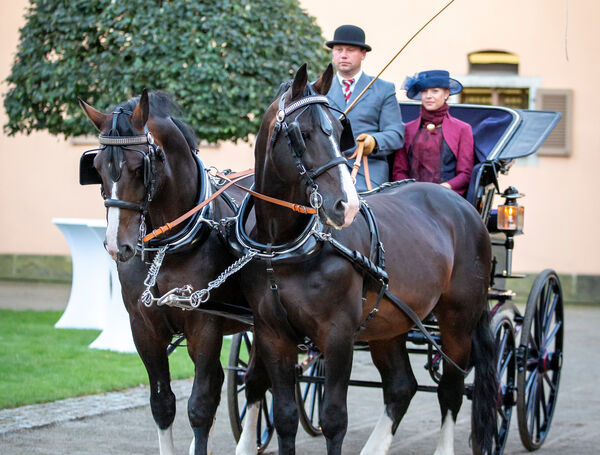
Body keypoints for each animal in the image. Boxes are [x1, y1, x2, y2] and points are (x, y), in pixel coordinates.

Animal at [78, 90, 250, 455]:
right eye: (96, 168)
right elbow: (163, 404)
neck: (169, 248)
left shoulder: (205, 325)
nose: (117, 246)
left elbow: (199, 407)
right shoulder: (144, 328)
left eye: (138, 167)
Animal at [232, 64, 494, 455]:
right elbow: (284, 416)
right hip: (390, 321)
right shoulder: (271, 334)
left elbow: (333, 420)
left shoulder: (338, 334)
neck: (284, 249)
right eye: (302, 134)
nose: (348, 205)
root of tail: (464, 207)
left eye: (340, 130)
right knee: (401, 386)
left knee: (451, 388)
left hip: (458, 320)